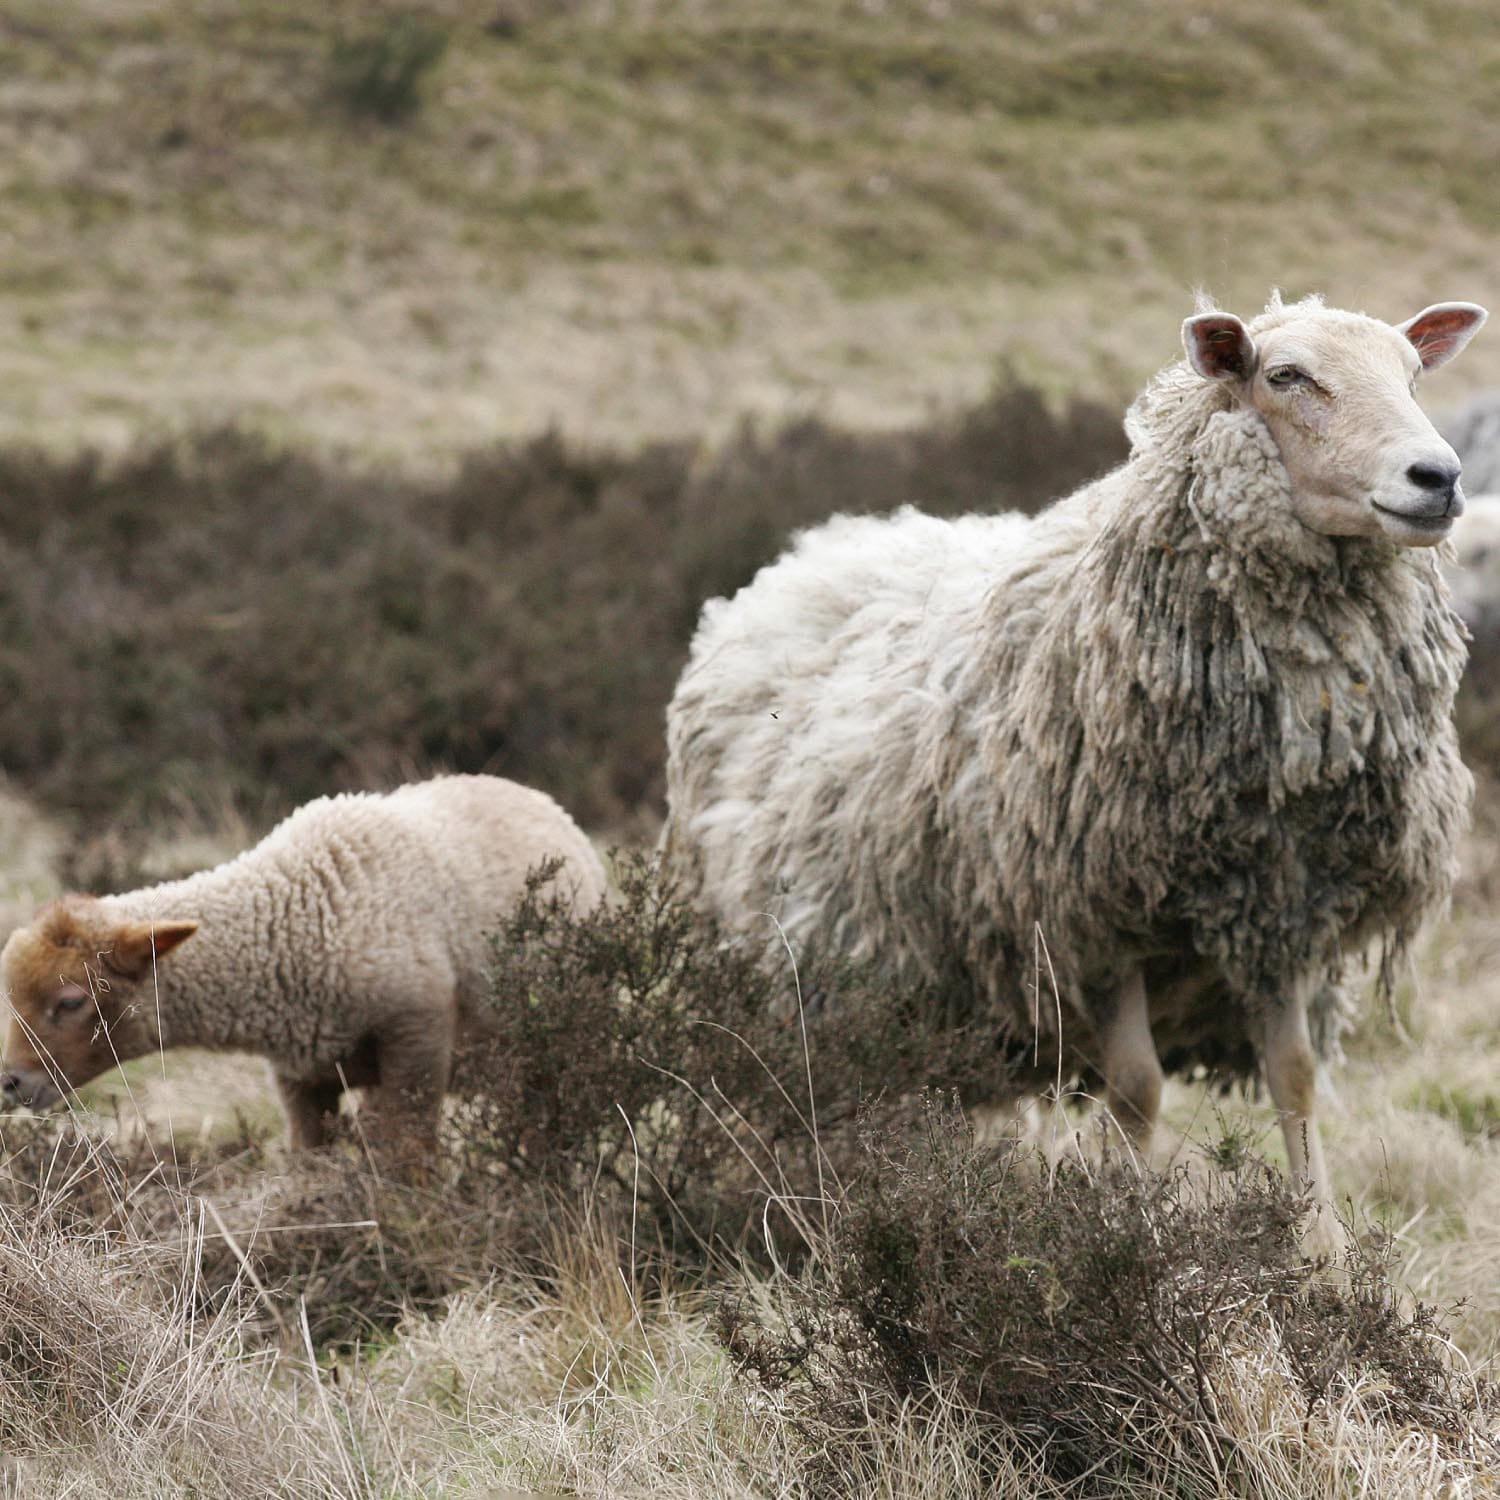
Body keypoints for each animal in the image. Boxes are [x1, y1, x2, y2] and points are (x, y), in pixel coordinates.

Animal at [4, 774, 609, 1158]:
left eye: (71, 1002)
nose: (11, 1082)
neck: (296, 917)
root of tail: (543, 803)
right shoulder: (301, 1077)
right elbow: (310, 1162)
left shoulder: (417, 1041)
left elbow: (408, 1160)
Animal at [669, 289, 1488, 1230]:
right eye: (1286, 375)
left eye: (1415, 373)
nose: (1439, 477)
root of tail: (814, 550)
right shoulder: (1088, 919)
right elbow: (1136, 1089)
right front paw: (1137, 1232)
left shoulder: (1276, 909)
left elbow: (1296, 1080)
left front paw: (1321, 1247)